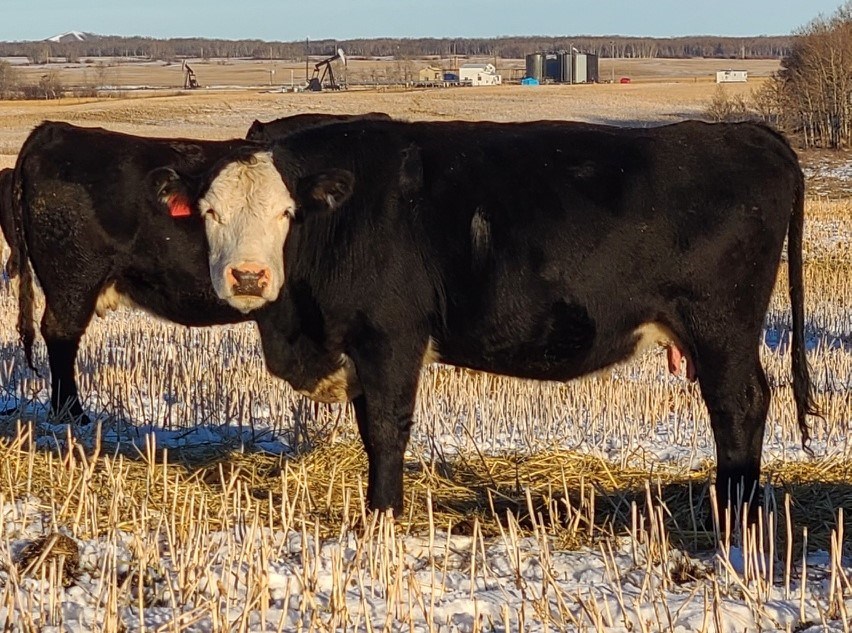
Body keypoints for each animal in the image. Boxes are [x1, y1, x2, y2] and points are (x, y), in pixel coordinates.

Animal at [160, 119, 820, 520]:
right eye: (210, 211)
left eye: (286, 212)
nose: (248, 277)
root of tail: (748, 132)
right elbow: (370, 427)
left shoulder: (391, 337)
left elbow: (387, 429)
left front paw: (383, 514)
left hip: (721, 327)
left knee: (739, 405)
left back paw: (733, 511)